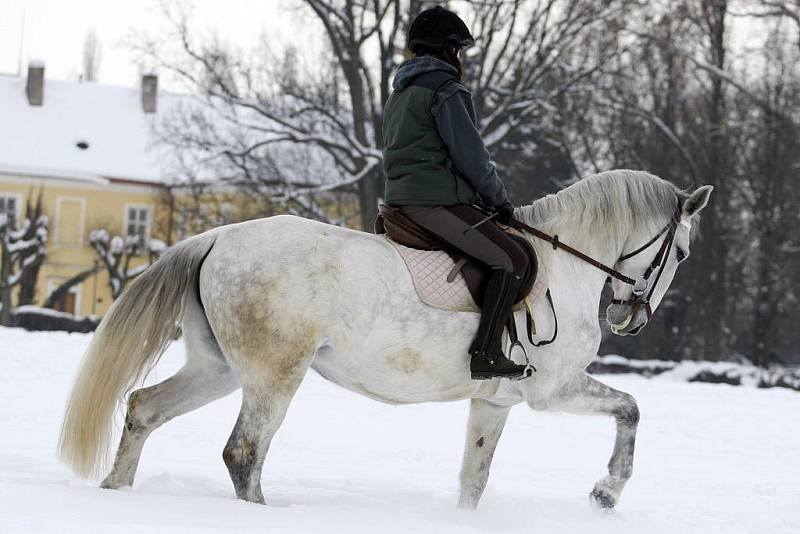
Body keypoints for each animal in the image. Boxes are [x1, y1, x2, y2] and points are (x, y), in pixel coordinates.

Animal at [59, 171, 716, 510]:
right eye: (683, 252)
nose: (631, 320)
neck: (565, 265)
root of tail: (218, 237)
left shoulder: (496, 402)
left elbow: (473, 479)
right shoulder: (552, 391)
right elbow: (631, 409)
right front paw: (607, 491)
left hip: (218, 368)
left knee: (145, 409)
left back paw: (117, 494)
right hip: (273, 375)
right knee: (243, 453)